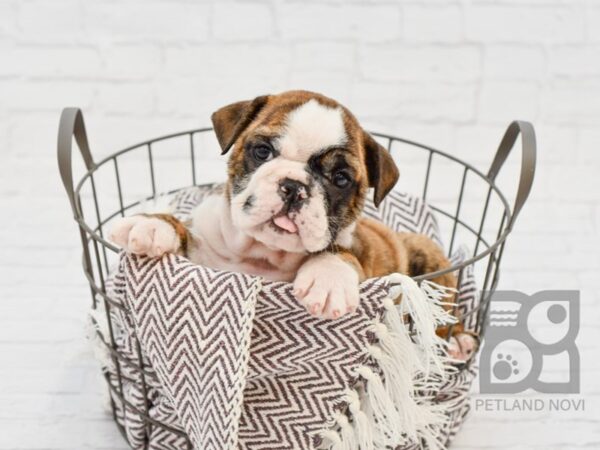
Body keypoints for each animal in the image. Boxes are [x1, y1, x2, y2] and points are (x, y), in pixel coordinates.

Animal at [109, 89, 478, 360]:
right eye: (262, 151)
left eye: (341, 178)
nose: (294, 187)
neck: (263, 254)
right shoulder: (205, 252)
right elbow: (184, 230)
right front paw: (152, 225)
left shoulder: (357, 250)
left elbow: (341, 253)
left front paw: (328, 278)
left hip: (429, 260)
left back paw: (457, 340)